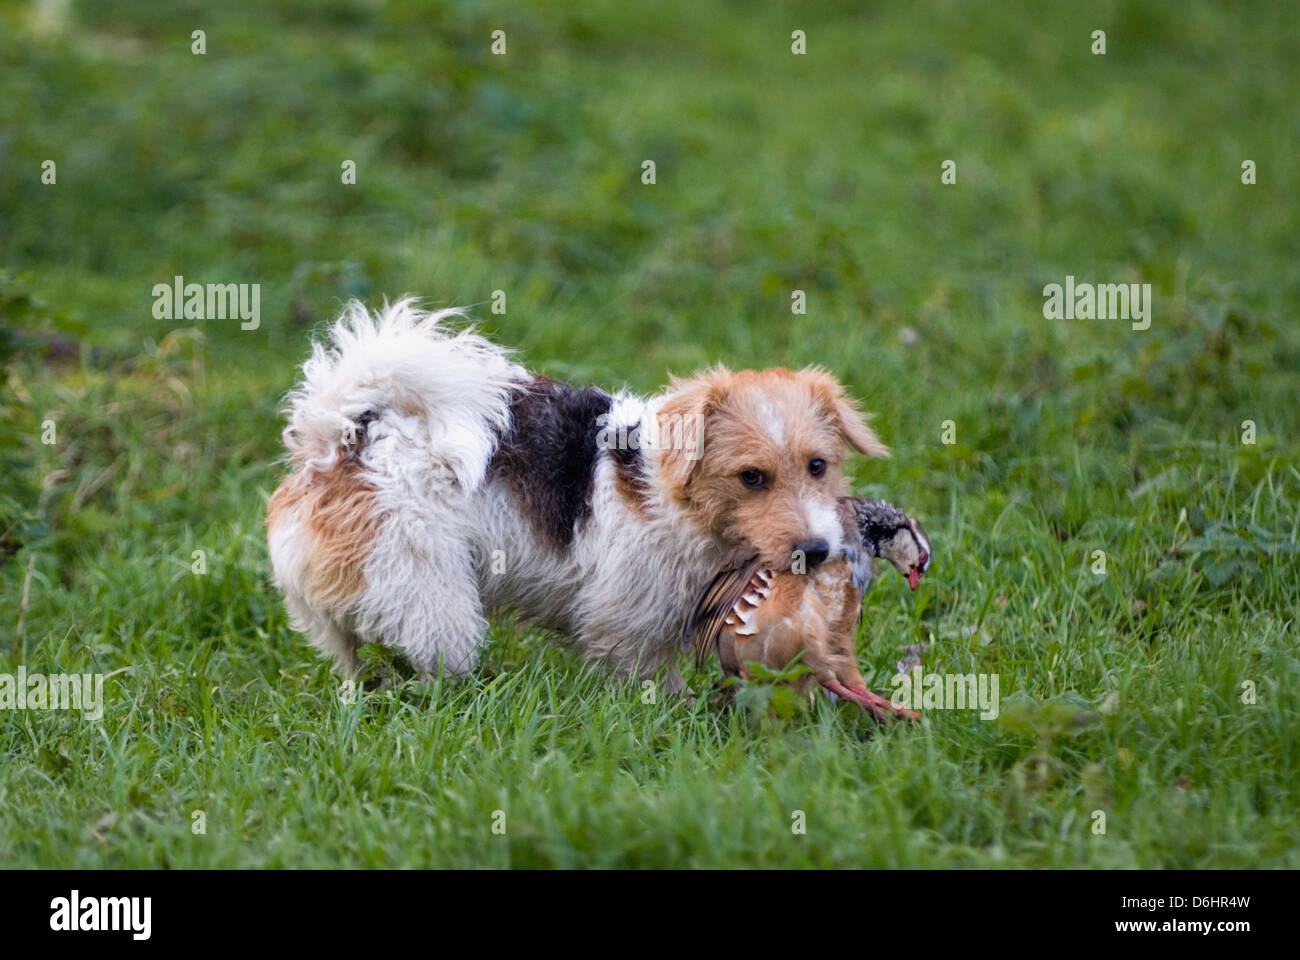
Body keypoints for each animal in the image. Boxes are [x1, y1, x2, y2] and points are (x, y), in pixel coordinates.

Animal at [267, 297, 889, 686]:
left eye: (818, 466)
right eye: (751, 477)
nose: (815, 552)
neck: (676, 499)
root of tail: (340, 439)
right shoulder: (627, 623)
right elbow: (651, 681)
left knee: (348, 659)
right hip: (431, 598)